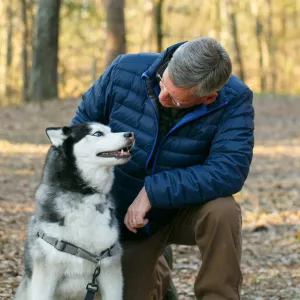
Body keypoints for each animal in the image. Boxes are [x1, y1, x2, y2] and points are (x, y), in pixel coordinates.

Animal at [14, 122, 135, 300]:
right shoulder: (46, 272)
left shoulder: (109, 268)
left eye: (111, 130)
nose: (130, 134)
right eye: (98, 134)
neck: (85, 198)